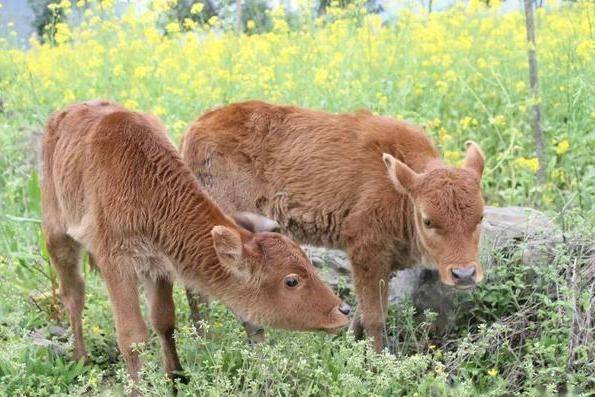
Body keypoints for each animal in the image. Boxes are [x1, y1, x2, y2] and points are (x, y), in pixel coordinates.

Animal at [42, 100, 350, 382]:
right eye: (291, 280)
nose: (343, 310)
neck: (144, 185)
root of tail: (62, 114)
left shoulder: (159, 266)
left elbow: (164, 322)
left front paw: (176, 377)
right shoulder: (117, 266)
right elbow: (132, 336)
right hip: (57, 237)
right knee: (73, 294)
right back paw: (80, 358)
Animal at [184, 100, 486, 352]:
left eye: (481, 217)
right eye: (428, 220)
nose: (464, 274)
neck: (398, 189)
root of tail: (197, 126)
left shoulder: (383, 262)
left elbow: (361, 312)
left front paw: (347, 345)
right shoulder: (366, 250)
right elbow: (375, 317)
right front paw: (377, 360)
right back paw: (215, 344)